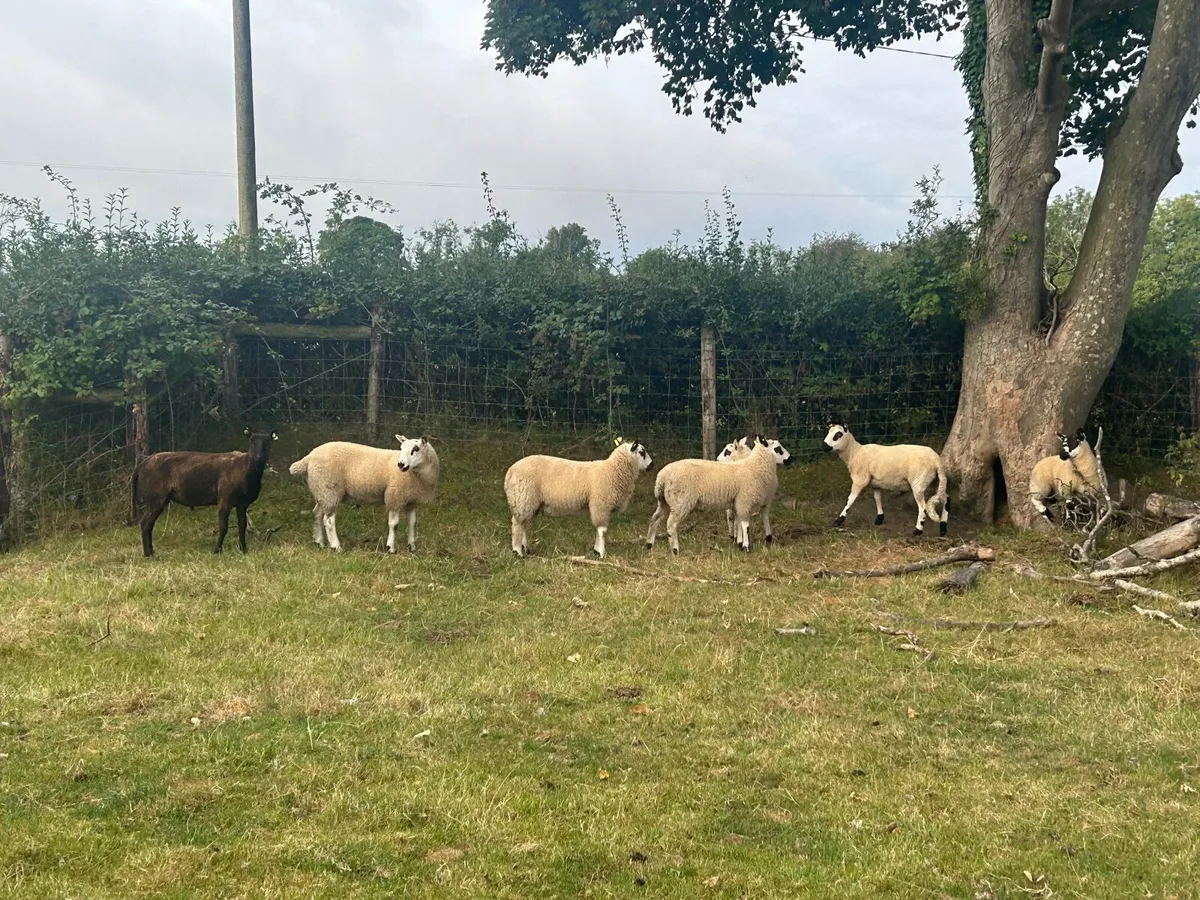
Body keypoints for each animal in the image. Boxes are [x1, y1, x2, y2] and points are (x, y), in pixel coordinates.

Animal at [132, 427, 276, 557]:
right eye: (252, 441)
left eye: (268, 442)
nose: (259, 457)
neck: (246, 468)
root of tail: (141, 465)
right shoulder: (225, 498)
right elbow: (223, 527)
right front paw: (217, 550)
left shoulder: (242, 503)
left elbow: (242, 526)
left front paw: (244, 549)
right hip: (155, 497)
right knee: (145, 524)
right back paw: (149, 554)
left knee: (148, 524)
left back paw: (150, 552)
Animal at [288, 435, 439, 553]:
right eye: (401, 448)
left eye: (416, 449)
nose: (401, 465)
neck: (418, 476)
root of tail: (308, 458)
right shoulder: (394, 497)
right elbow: (394, 524)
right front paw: (390, 547)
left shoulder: (411, 501)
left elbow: (412, 523)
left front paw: (412, 546)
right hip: (330, 489)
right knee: (329, 521)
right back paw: (336, 547)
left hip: (322, 492)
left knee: (317, 514)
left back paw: (319, 542)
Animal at [504, 438, 654, 559]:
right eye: (642, 452)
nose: (652, 466)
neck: (612, 470)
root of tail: (510, 472)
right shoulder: (601, 505)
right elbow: (602, 530)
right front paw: (601, 553)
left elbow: (599, 530)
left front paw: (596, 551)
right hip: (523, 498)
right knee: (517, 525)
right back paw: (517, 551)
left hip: (527, 503)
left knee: (523, 524)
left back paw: (525, 548)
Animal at [647, 435, 792, 554]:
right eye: (778, 449)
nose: (790, 459)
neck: (753, 466)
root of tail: (661, 477)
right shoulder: (744, 501)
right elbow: (745, 525)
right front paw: (746, 547)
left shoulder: (738, 503)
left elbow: (739, 523)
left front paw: (740, 544)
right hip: (680, 501)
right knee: (671, 525)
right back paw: (675, 550)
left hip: (665, 501)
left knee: (655, 518)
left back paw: (649, 544)